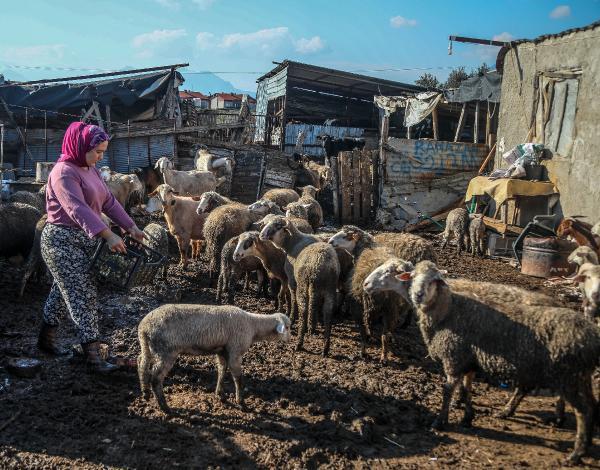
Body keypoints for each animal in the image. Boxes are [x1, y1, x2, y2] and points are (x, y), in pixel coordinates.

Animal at [139, 302, 292, 414]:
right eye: (288, 327)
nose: (290, 339)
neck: (253, 326)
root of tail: (143, 327)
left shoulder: (222, 351)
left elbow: (222, 371)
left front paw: (220, 394)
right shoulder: (235, 351)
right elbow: (238, 379)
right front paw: (241, 403)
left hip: (149, 347)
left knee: (141, 363)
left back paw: (145, 392)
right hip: (166, 351)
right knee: (156, 378)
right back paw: (165, 407)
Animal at [360, 260, 600, 466]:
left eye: (390, 271)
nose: (366, 284)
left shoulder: (458, 353)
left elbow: (453, 386)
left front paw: (448, 415)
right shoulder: (469, 356)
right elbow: (466, 384)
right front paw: (464, 409)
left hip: (556, 370)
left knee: (568, 404)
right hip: (566, 372)